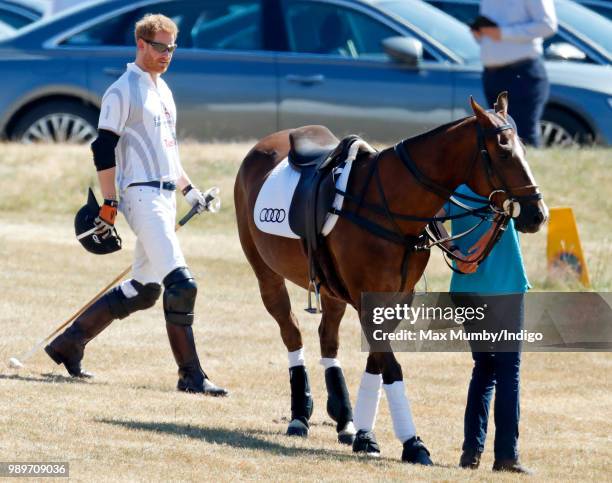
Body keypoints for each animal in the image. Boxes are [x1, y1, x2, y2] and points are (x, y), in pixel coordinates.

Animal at [232, 93, 548, 466]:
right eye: (503, 151)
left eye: (524, 148)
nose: (537, 214)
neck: (392, 208)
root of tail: (263, 145)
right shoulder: (367, 301)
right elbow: (392, 367)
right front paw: (412, 443)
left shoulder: (397, 299)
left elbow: (377, 363)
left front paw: (364, 435)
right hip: (266, 273)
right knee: (291, 332)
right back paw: (299, 415)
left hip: (331, 290)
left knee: (327, 338)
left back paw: (344, 419)